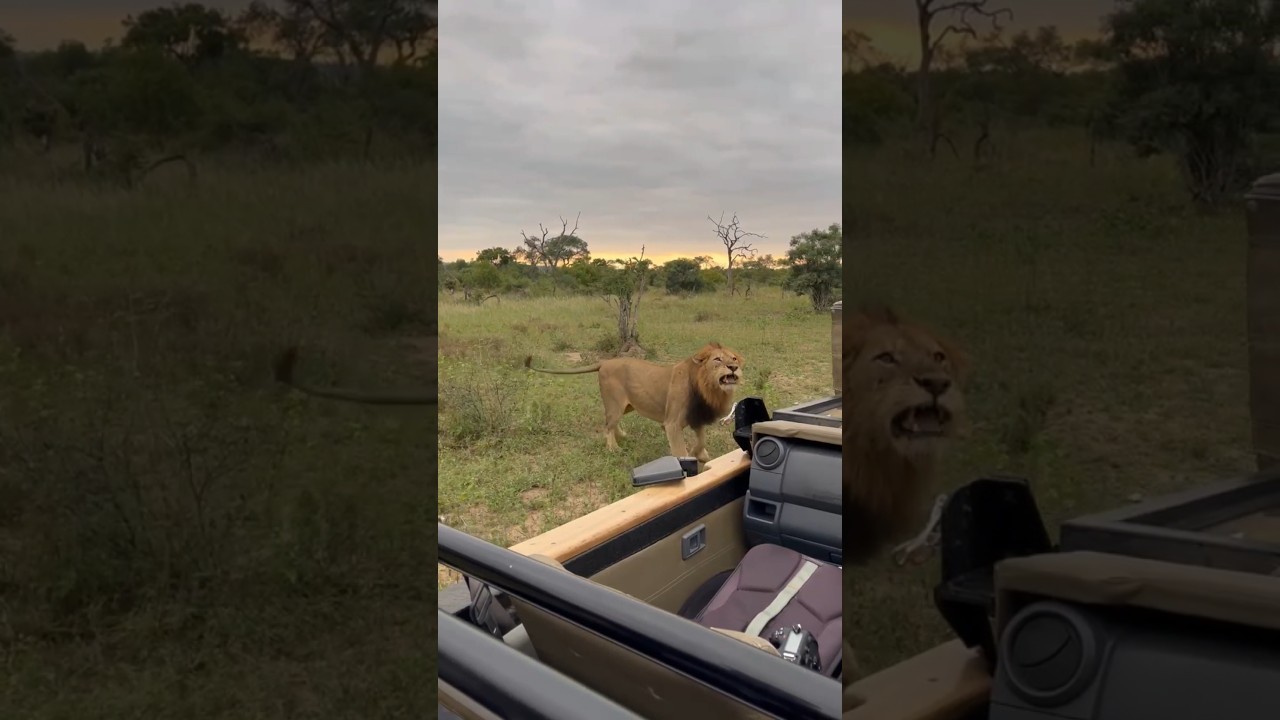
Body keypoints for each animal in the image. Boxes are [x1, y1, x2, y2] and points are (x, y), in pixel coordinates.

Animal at [524, 342, 743, 462]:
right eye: (717, 360)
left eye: (734, 358)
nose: (733, 367)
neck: (708, 388)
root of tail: (604, 362)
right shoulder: (672, 423)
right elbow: (680, 448)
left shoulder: (696, 419)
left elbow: (701, 439)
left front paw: (701, 455)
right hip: (615, 403)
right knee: (607, 425)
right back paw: (614, 448)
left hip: (627, 406)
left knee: (611, 422)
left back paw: (623, 436)